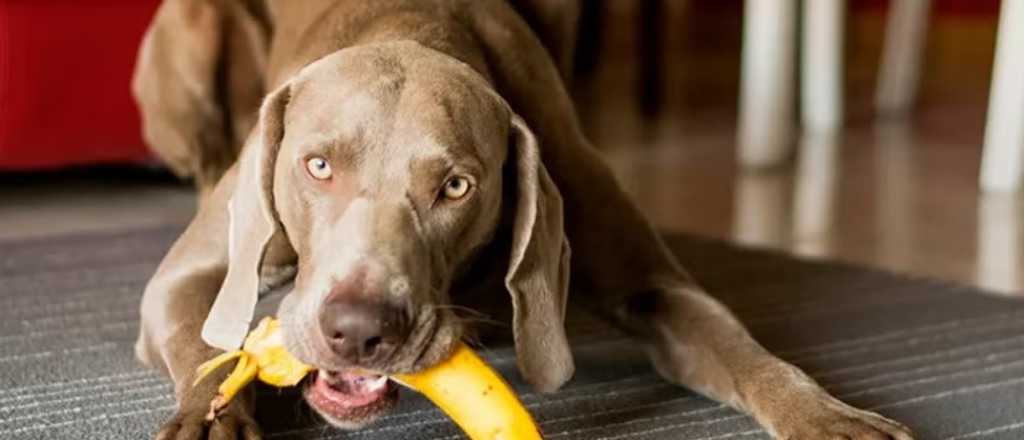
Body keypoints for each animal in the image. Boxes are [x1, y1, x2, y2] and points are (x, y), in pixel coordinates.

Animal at [132, 1, 917, 437]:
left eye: (455, 186)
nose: (358, 331)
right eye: (317, 166)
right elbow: (202, 344)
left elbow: (740, 347)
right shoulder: (184, 277)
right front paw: (209, 416)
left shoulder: (652, 280)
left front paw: (830, 418)